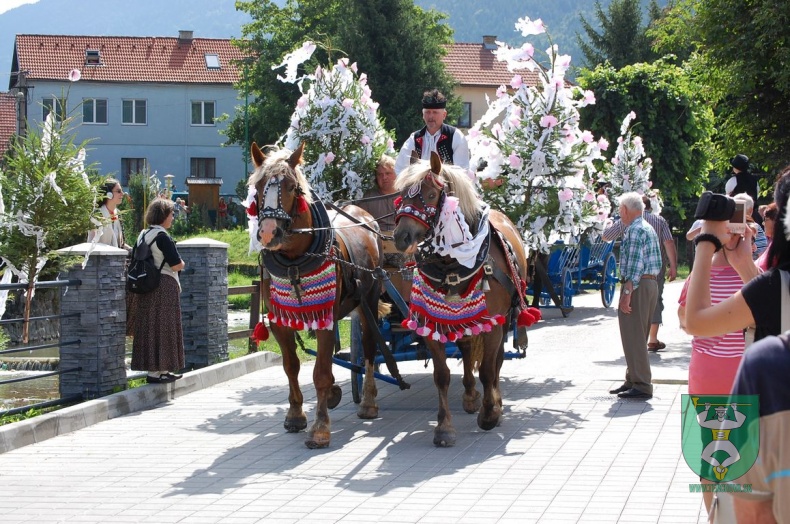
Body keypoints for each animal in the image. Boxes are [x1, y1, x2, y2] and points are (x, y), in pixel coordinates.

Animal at [252, 141, 388, 448]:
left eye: (292, 187)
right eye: (259, 186)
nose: (268, 233)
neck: (294, 261)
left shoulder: (325, 317)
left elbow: (321, 373)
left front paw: (320, 428)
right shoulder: (279, 320)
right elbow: (291, 366)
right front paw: (295, 415)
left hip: (369, 299)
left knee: (370, 348)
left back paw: (369, 402)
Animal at [394, 154, 532, 448]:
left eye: (431, 195)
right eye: (401, 196)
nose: (401, 237)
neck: (452, 264)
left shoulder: (494, 323)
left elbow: (489, 370)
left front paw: (490, 415)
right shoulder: (431, 325)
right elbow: (442, 376)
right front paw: (444, 428)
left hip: (503, 320)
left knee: (496, 361)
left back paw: (495, 403)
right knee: (467, 349)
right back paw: (470, 397)